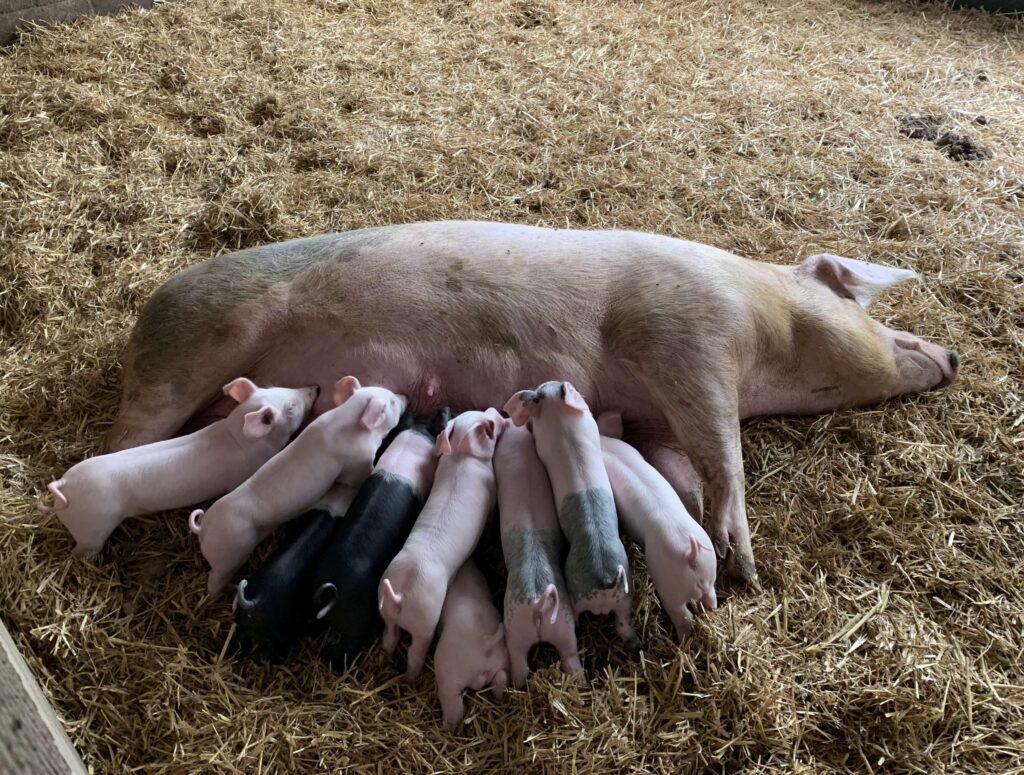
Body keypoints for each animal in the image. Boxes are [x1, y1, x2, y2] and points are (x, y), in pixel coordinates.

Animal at [40, 378, 317, 557]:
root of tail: (66, 485)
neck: (235, 435)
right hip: (94, 527)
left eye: (279, 387)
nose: (316, 387)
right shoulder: (238, 478)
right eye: (291, 407)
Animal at [189, 376, 406, 595]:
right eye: (391, 403)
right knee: (215, 580)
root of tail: (204, 528)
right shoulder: (357, 464)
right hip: (228, 556)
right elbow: (359, 476)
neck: (347, 422)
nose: (405, 397)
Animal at [378, 409, 504, 681]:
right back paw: (411, 679)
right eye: (488, 425)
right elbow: (490, 522)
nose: (500, 413)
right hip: (425, 621)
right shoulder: (491, 491)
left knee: (389, 637)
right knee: (415, 652)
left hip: (386, 611)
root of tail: (400, 595)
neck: (460, 456)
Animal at [433, 560, 510, 729]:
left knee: (452, 701)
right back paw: (499, 698)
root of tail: (484, 642)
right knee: (501, 677)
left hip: (447, 670)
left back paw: (447, 725)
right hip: (502, 659)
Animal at [597, 411, 717, 640]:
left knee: (683, 614)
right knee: (711, 596)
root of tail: (691, 555)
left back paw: (681, 638)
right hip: (709, 567)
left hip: (667, 581)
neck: (603, 445)